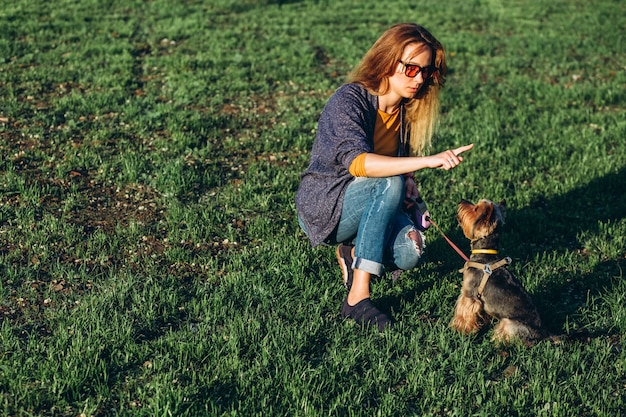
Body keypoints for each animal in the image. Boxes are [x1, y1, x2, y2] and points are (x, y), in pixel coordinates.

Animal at [446, 198, 544, 344]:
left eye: (475, 209)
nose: (462, 200)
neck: (485, 253)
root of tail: (543, 333)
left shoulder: (469, 296)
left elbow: (464, 314)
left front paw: (460, 330)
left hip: (509, 324)